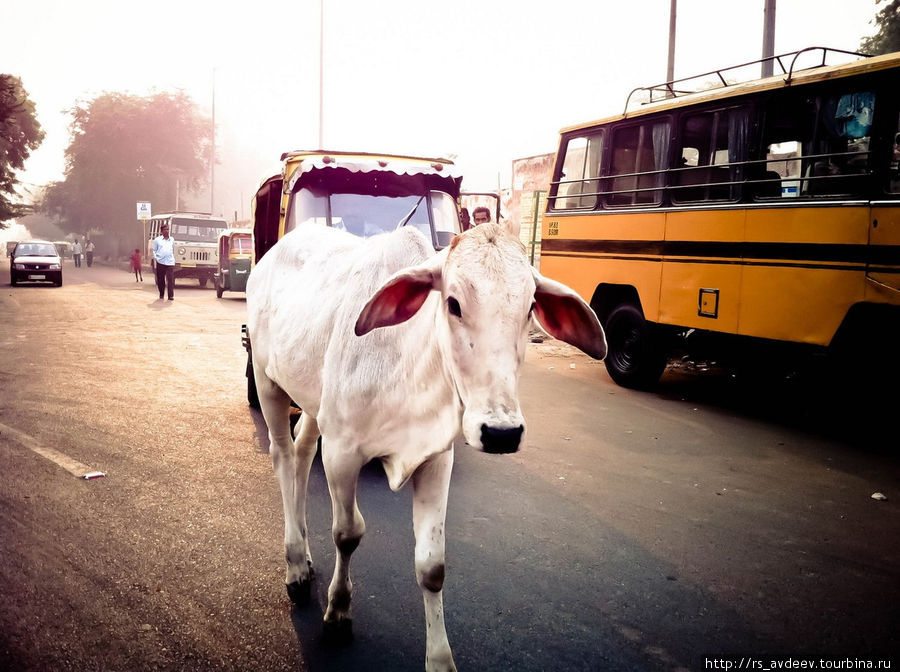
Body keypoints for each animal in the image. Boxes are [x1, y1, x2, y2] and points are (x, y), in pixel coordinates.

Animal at [248, 219, 604, 668]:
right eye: (453, 303)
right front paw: (339, 612)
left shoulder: (437, 458)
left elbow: (432, 566)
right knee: (281, 455)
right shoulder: (342, 453)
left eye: (528, 309)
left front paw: (439, 658)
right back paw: (295, 564)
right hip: (267, 379)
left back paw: (304, 557)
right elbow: (348, 533)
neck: (408, 363)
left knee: (301, 451)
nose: (501, 433)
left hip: (312, 401)